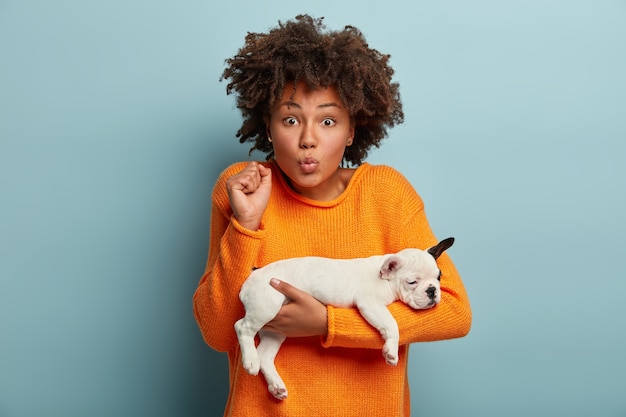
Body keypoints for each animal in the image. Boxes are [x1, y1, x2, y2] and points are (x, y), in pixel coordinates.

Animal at [234, 236, 454, 398]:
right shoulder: (370, 303)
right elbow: (391, 324)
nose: (432, 291)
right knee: (242, 327)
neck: (386, 278)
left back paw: (275, 384)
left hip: (276, 329)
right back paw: (250, 361)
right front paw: (391, 351)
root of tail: (252, 277)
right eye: (412, 282)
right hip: (267, 306)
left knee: (265, 355)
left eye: (438, 277)